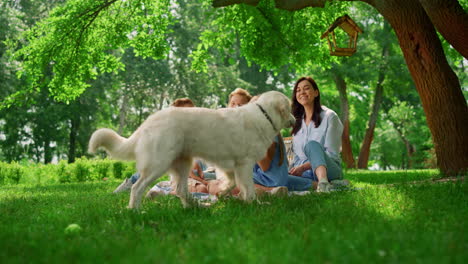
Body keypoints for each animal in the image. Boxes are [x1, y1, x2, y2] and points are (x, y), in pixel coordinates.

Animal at [88, 91, 292, 208]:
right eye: (290, 108)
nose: (295, 119)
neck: (264, 115)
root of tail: (148, 122)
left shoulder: (229, 166)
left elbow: (232, 183)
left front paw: (222, 193)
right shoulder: (244, 164)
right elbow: (248, 188)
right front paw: (255, 203)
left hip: (183, 164)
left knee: (180, 190)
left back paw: (195, 207)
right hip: (158, 165)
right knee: (137, 188)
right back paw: (135, 211)